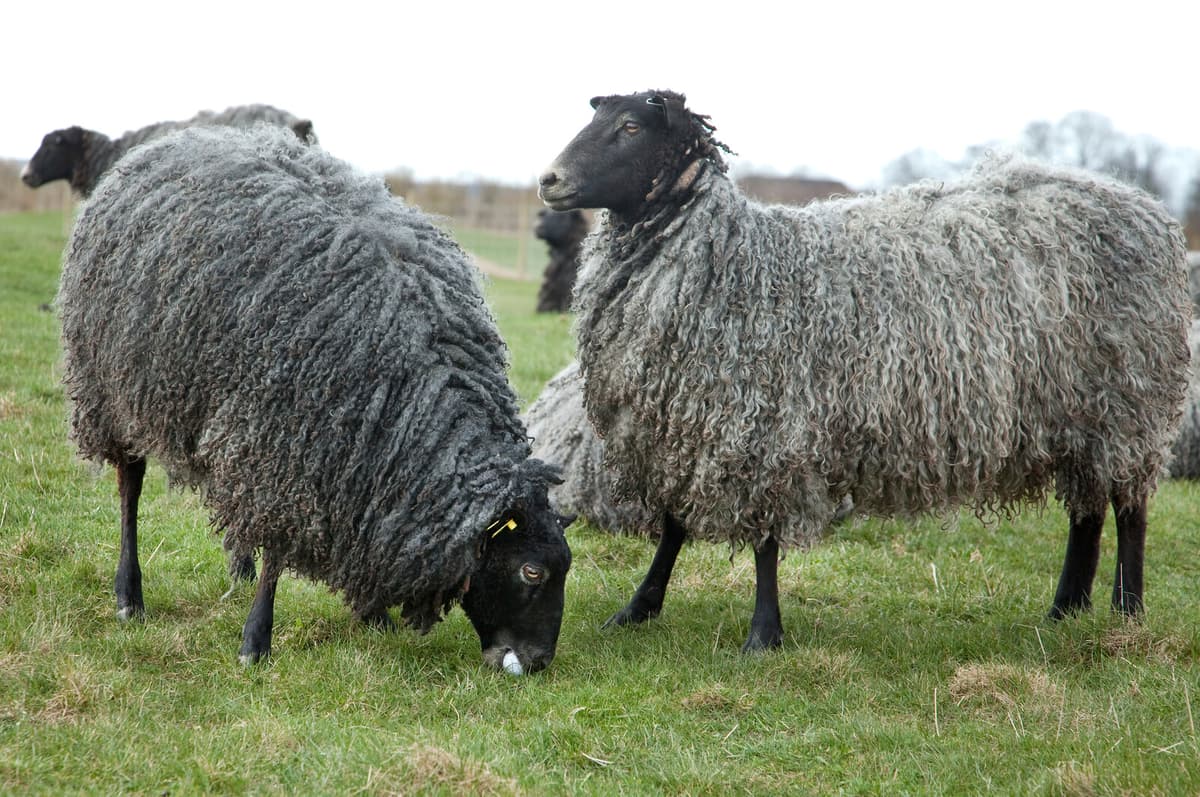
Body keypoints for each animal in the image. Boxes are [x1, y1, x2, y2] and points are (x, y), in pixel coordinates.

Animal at [59, 125, 572, 672]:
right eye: (531, 572)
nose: (538, 662)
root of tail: (177, 139)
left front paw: (374, 615)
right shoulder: (288, 447)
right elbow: (278, 554)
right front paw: (255, 643)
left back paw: (237, 562)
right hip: (110, 390)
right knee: (129, 486)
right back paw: (129, 596)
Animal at [538, 89, 1190, 652]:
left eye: (630, 127)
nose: (549, 181)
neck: (732, 260)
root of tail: (1141, 205)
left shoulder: (766, 424)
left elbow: (765, 542)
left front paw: (763, 635)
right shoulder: (681, 425)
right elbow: (673, 525)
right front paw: (636, 609)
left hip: (1129, 404)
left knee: (1129, 509)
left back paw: (1127, 613)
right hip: (1083, 416)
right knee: (1088, 510)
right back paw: (1064, 609)